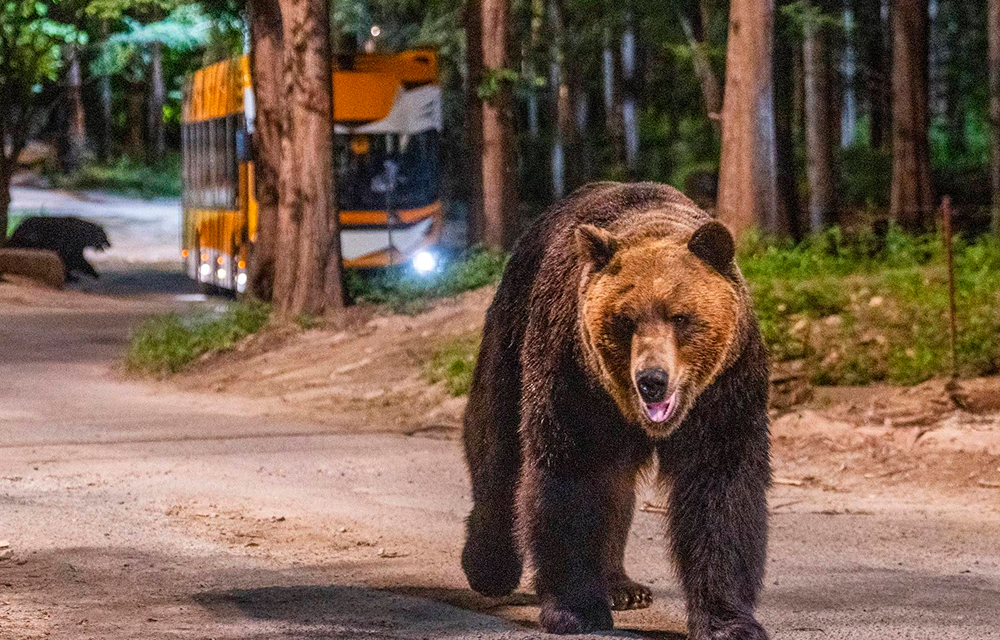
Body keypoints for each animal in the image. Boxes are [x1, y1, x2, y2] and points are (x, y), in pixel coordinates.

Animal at [461, 182, 771, 638]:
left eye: (681, 317)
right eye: (625, 320)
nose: (652, 379)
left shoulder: (726, 390)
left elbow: (721, 494)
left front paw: (728, 621)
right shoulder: (572, 377)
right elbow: (570, 479)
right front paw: (575, 611)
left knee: (616, 487)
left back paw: (623, 587)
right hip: (514, 334)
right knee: (497, 445)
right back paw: (488, 566)